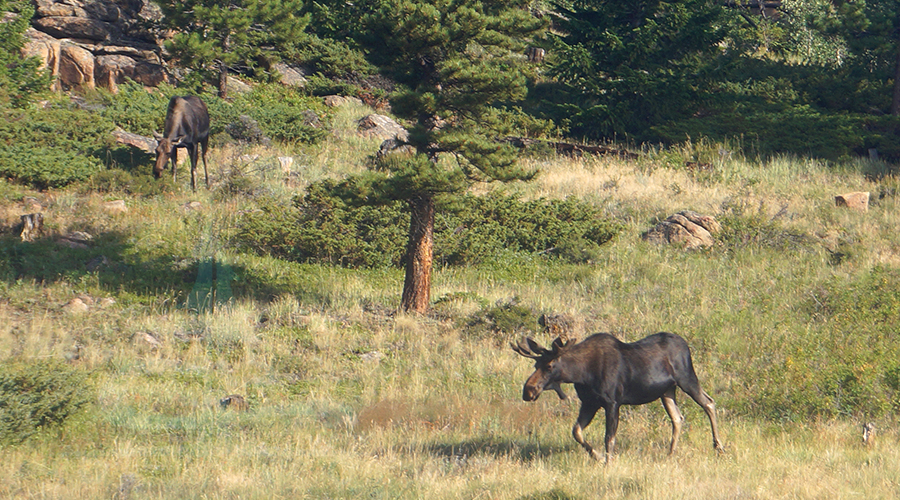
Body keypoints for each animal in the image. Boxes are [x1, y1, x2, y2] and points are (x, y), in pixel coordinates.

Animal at [512, 332, 724, 460]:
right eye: (535, 365)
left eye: (549, 366)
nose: (528, 390)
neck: (581, 374)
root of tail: (686, 345)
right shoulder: (589, 403)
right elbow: (577, 431)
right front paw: (597, 457)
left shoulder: (612, 402)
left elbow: (609, 438)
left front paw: (608, 462)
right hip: (667, 391)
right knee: (678, 418)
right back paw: (670, 453)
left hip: (687, 378)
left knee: (709, 403)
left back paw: (719, 447)